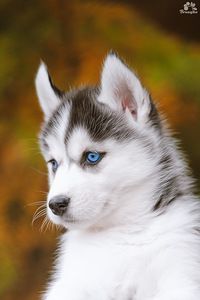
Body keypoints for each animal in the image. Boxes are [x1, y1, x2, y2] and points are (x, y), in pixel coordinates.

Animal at [34, 54, 200, 300]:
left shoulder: (181, 271)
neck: (121, 234)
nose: (56, 204)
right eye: (53, 163)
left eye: (92, 156)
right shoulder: (72, 283)